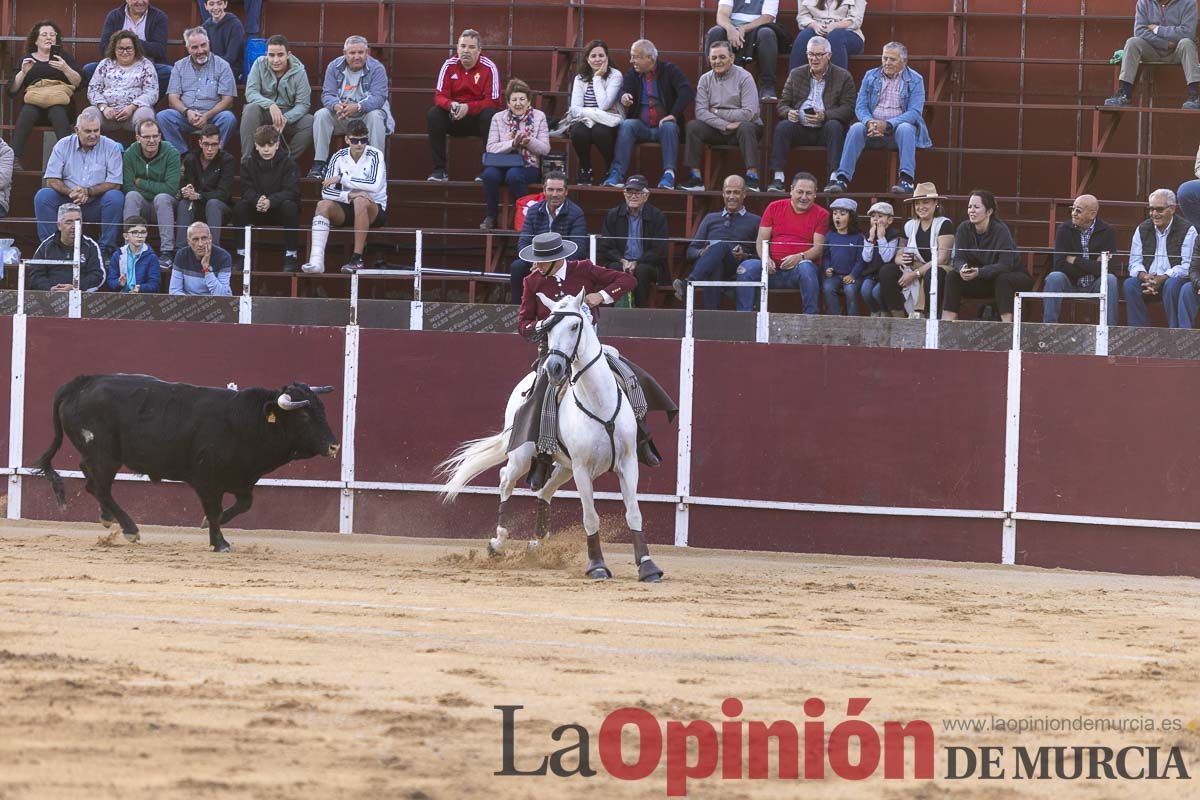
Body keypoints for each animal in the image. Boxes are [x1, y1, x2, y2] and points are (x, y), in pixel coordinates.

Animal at [32, 374, 340, 551]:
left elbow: (241, 505)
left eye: (323, 409)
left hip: (99, 455)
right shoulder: (206, 481)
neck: (246, 421)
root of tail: (80, 383)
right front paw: (220, 542)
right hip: (105, 455)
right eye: (304, 416)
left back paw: (108, 518)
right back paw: (130, 529)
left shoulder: (242, 480)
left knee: (91, 480)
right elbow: (214, 510)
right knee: (101, 487)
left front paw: (211, 529)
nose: (334, 446)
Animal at [441, 287, 667, 582]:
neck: (599, 401)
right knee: (505, 479)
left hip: (564, 466)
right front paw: (597, 565)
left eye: (574, 326)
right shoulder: (582, 469)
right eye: (547, 329)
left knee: (544, 491)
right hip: (524, 456)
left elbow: (634, 513)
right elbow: (590, 517)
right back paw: (498, 544)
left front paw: (648, 566)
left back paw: (537, 542)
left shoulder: (628, 463)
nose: (554, 368)